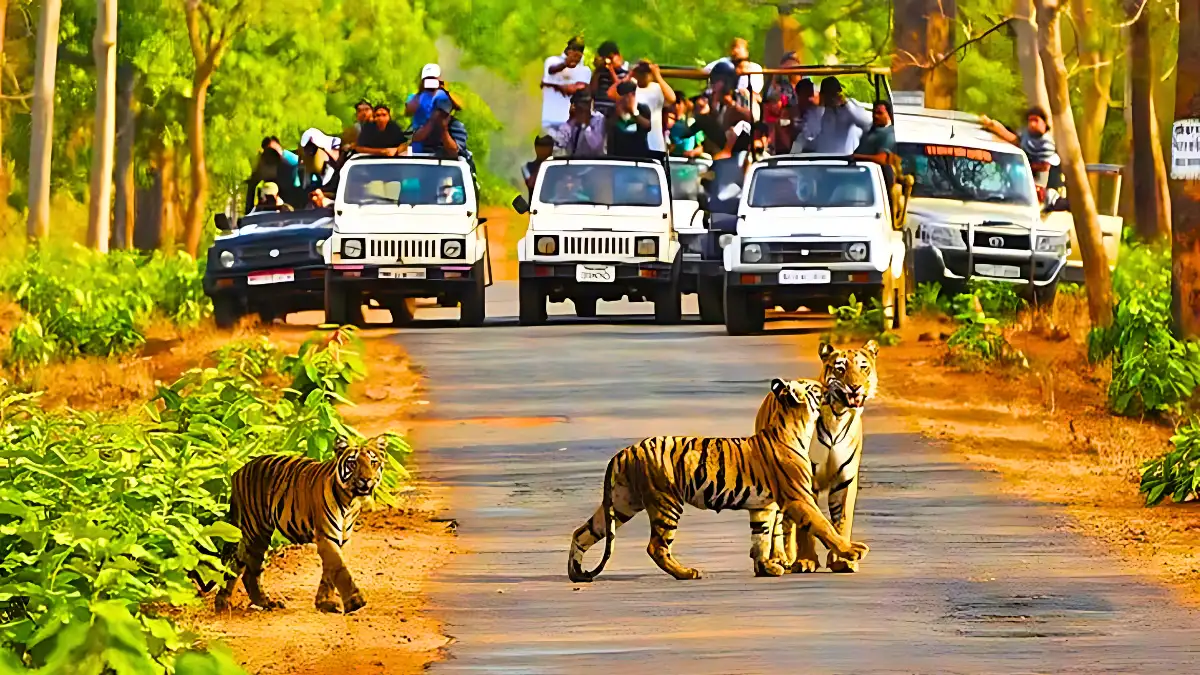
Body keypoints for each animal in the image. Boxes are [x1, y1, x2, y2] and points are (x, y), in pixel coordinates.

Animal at [208, 432, 386, 612]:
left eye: (373, 462)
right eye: (352, 463)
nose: (366, 479)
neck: (350, 500)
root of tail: (238, 471)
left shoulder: (343, 538)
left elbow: (330, 572)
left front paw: (324, 602)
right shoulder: (327, 537)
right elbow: (339, 568)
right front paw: (355, 602)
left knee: (236, 566)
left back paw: (228, 603)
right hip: (256, 531)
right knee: (249, 571)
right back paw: (259, 603)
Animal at [566, 374, 868, 581]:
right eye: (815, 389)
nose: (830, 387)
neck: (797, 426)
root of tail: (625, 451)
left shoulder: (763, 506)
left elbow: (761, 537)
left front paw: (766, 568)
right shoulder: (800, 498)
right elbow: (824, 526)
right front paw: (853, 551)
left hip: (622, 502)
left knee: (583, 531)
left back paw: (576, 572)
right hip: (666, 502)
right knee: (656, 546)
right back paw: (686, 572)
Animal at [758, 338, 883, 569]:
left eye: (863, 367)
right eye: (840, 368)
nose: (855, 386)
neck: (838, 416)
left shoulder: (845, 479)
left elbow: (842, 520)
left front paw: (842, 561)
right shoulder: (805, 479)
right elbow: (806, 526)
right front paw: (806, 560)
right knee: (780, 522)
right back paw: (781, 558)